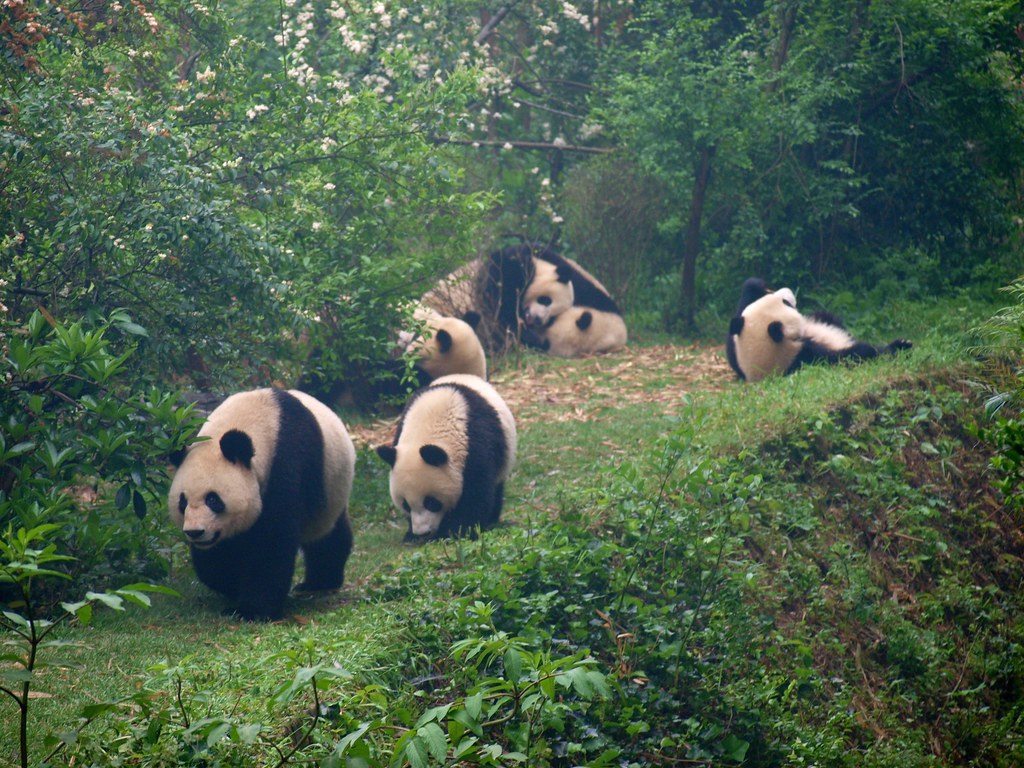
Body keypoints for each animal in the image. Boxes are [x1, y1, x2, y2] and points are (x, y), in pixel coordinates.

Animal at [168, 388, 355, 621]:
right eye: (182, 502)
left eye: (213, 499)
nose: (195, 532)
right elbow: (216, 557)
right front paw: (232, 584)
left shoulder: (287, 463)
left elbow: (271, 545)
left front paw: (252, 610)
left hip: (331, 491)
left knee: (327, 538)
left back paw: (320, 583)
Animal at [375, 374, 516, 541]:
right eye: (406, 505)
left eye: (431, 502)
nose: (423, 533)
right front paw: (411, 535)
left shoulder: (476, 447)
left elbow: (475, 495)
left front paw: (458, 531)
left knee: (496, 488)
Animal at [726, 277, 912, 382]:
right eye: (785, 303)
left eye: (782, 299)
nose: (788, 290)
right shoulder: (809, 358)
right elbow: (857, 355)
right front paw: (899, 346)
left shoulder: (735, 352)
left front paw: (755, 285)